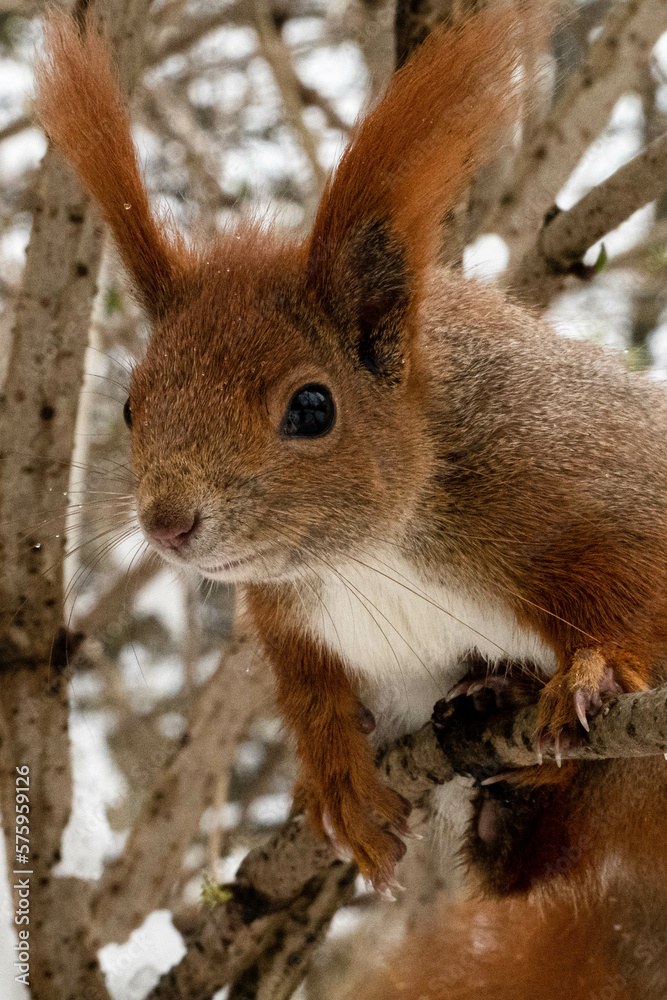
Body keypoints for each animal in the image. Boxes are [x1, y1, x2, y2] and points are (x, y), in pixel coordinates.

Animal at [34, 5, 667, 900]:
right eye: (128, 405)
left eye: (311, 407)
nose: (167, 525)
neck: (367, 554)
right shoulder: (290, 612)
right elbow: (309, 687)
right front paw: (332, 767)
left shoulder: (569, 477)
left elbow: (633, 583)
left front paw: (595, 669)